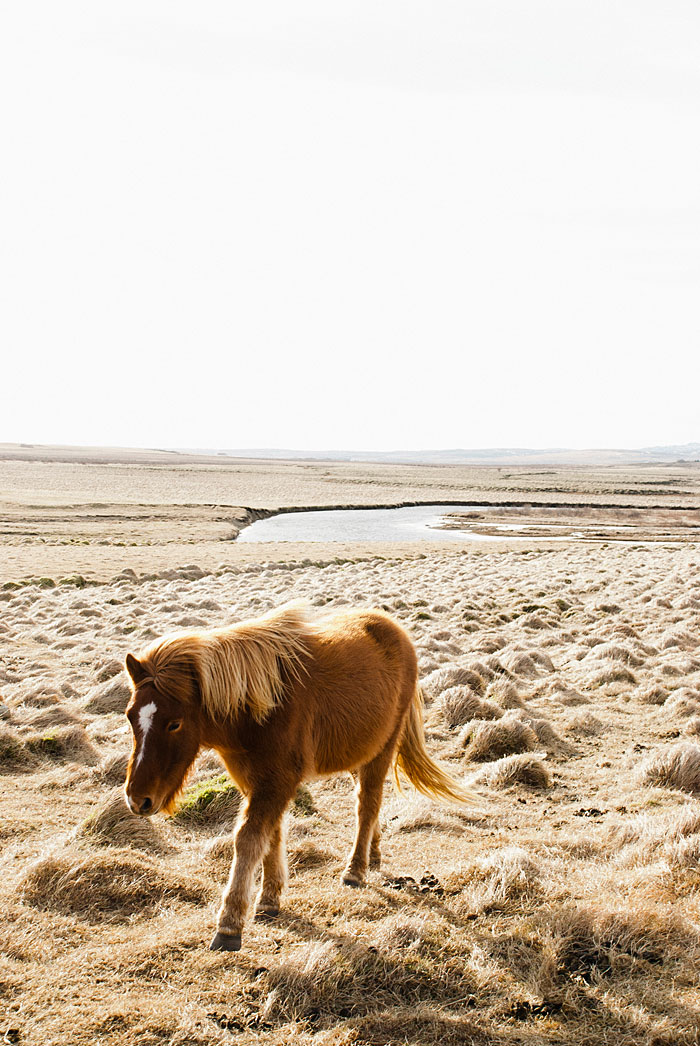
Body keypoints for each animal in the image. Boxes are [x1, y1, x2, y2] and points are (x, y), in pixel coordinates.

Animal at [123, 602, 475, 953]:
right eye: (130, 716)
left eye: (174, 724)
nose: (137, 799)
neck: (259, 710)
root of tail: (394, 630)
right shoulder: (258, 782)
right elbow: (272, 836)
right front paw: (269, 900)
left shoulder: (275, 782)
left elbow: (248, 839)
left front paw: (230, 924)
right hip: (359, 751)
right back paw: (372, 854)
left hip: (383, 749)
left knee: (367, 804)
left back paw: (355, 870)